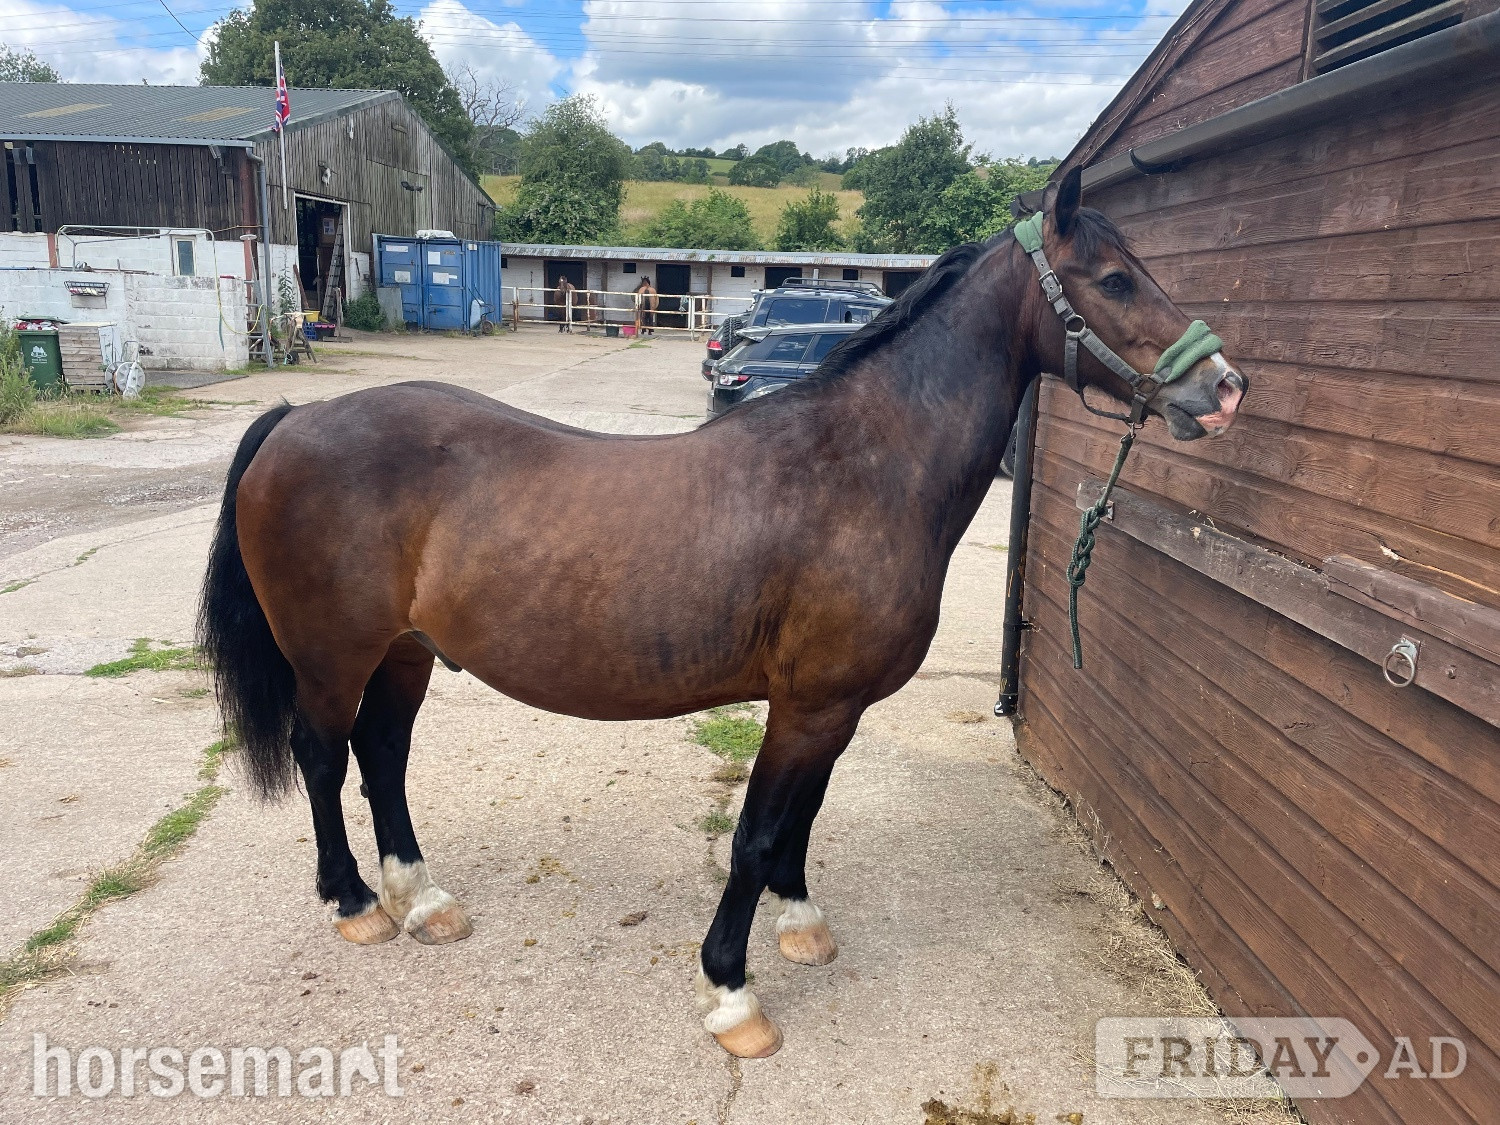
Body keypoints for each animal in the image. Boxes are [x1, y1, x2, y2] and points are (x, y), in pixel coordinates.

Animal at [199, 169, 1246, 1058]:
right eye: (1114, 279)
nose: (1226, 389)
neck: (862, 470)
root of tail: (292, 419)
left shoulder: (831, 709)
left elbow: (801, 820)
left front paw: (802, 925)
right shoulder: (807, 705)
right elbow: (753, 837)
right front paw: (733, 993)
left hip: (405, 653)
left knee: (381, 754)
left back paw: (422, 898)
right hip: (331, 656)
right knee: (323, 756)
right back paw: (355, 904)